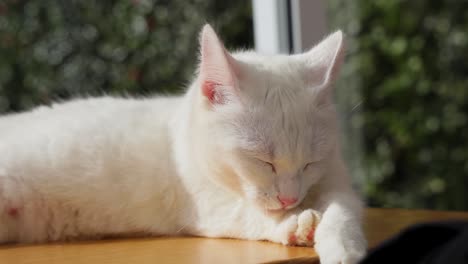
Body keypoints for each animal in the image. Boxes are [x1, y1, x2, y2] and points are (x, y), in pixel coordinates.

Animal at [0, 24, 366, 262]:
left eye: (310, 162)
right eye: (261, 160)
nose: (289, 198)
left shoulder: (336, 182)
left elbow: (342, 212)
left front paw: (343, 247)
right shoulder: (206, 203)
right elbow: (248, 214)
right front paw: (294, 224)